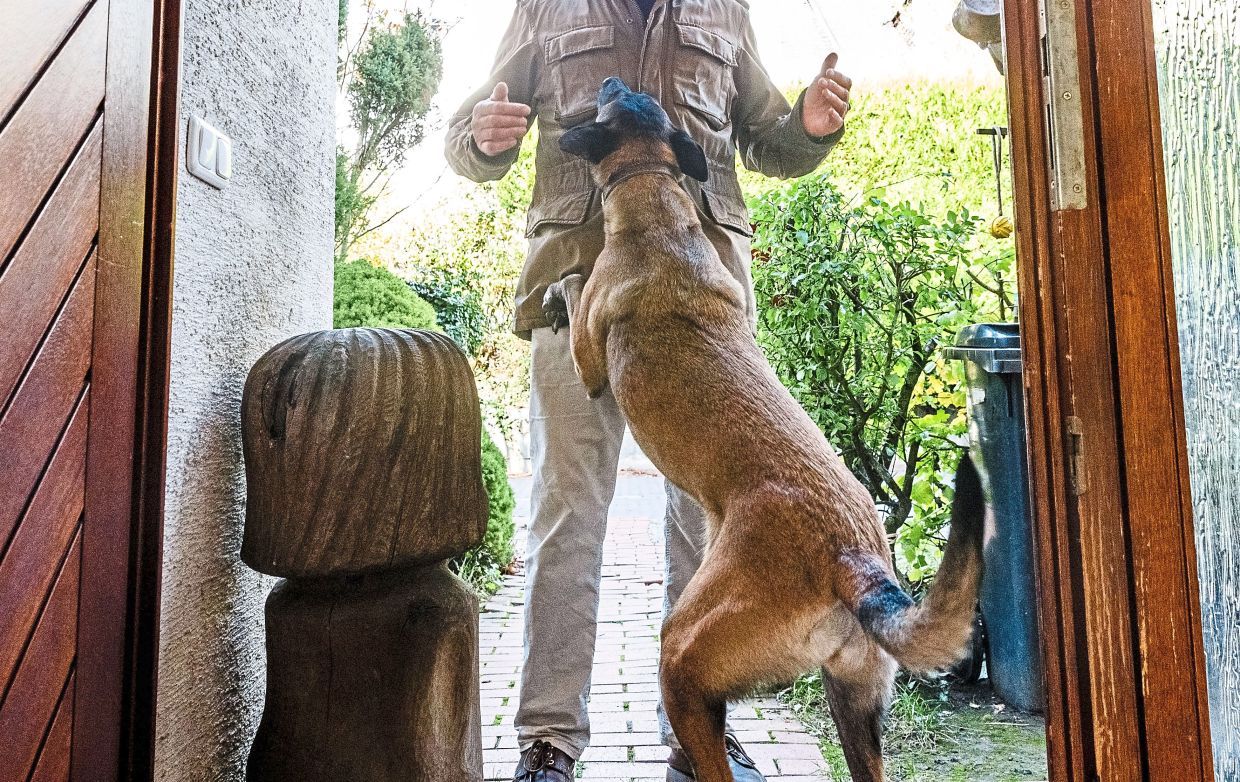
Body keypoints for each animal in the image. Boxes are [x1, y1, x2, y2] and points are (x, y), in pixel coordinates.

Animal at [548, 81, 982, 782]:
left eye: (617, 97)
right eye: (634, 96)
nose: (612, 82)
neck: (654, 194)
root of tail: (852, 558)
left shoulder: (590, 356)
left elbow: (571, 284)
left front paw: (556, 290)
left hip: (685, 657)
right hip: (854, 701)